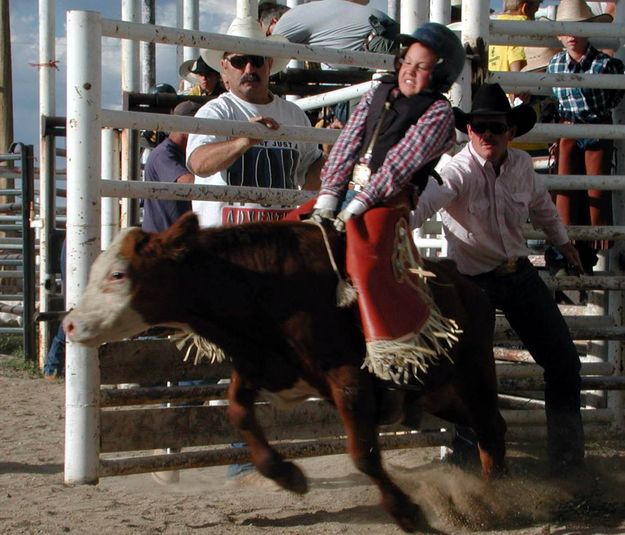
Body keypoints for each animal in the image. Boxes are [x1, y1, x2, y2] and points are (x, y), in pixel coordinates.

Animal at [63, 213, 502, 532]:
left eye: (119, 274)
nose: (68, 324)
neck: (261, 286)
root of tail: (468, 285)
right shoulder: (259, 366)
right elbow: (238, 412)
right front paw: (287, 475)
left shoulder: (350, 382)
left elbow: (363, 454)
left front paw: (407, 513)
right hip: (437, 394)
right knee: (482, 429)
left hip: (472, 376)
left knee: (491, 428)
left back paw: (495, 497)